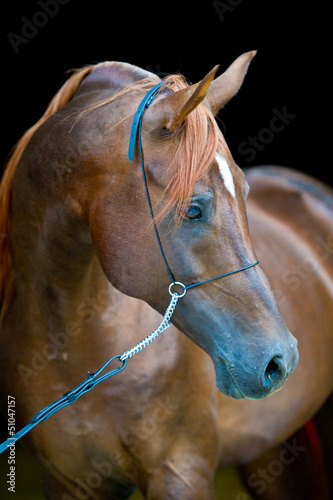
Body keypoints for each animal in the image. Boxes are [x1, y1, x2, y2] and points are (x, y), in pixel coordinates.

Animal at [0, 51, 330, 500]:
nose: (281, 359)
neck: (73, 343)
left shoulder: (180, 472)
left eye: (245, 193)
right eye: (193, 208)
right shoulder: (70, 482)